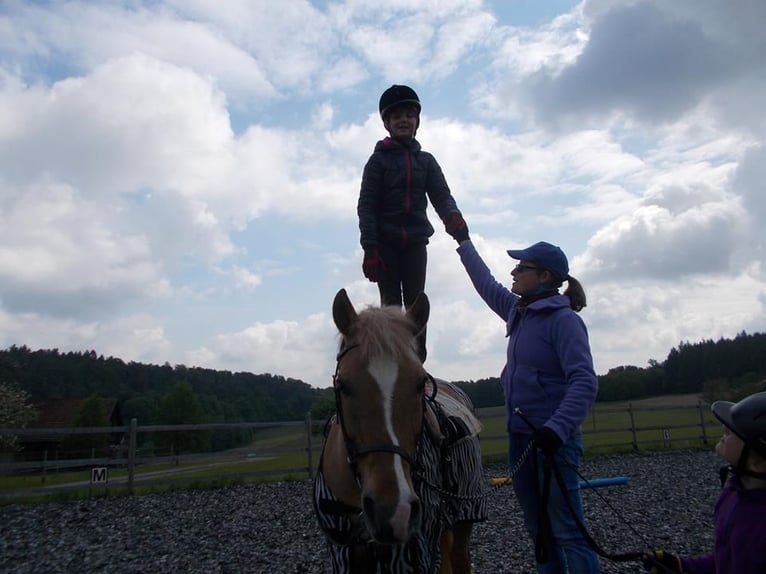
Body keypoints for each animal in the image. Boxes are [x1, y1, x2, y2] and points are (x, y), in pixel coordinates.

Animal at [312, 292, 486, 574]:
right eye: (343, 385)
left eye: (420, 383)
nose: (393, 511)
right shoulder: (342, 554)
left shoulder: (412, 556)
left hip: (466, 513)